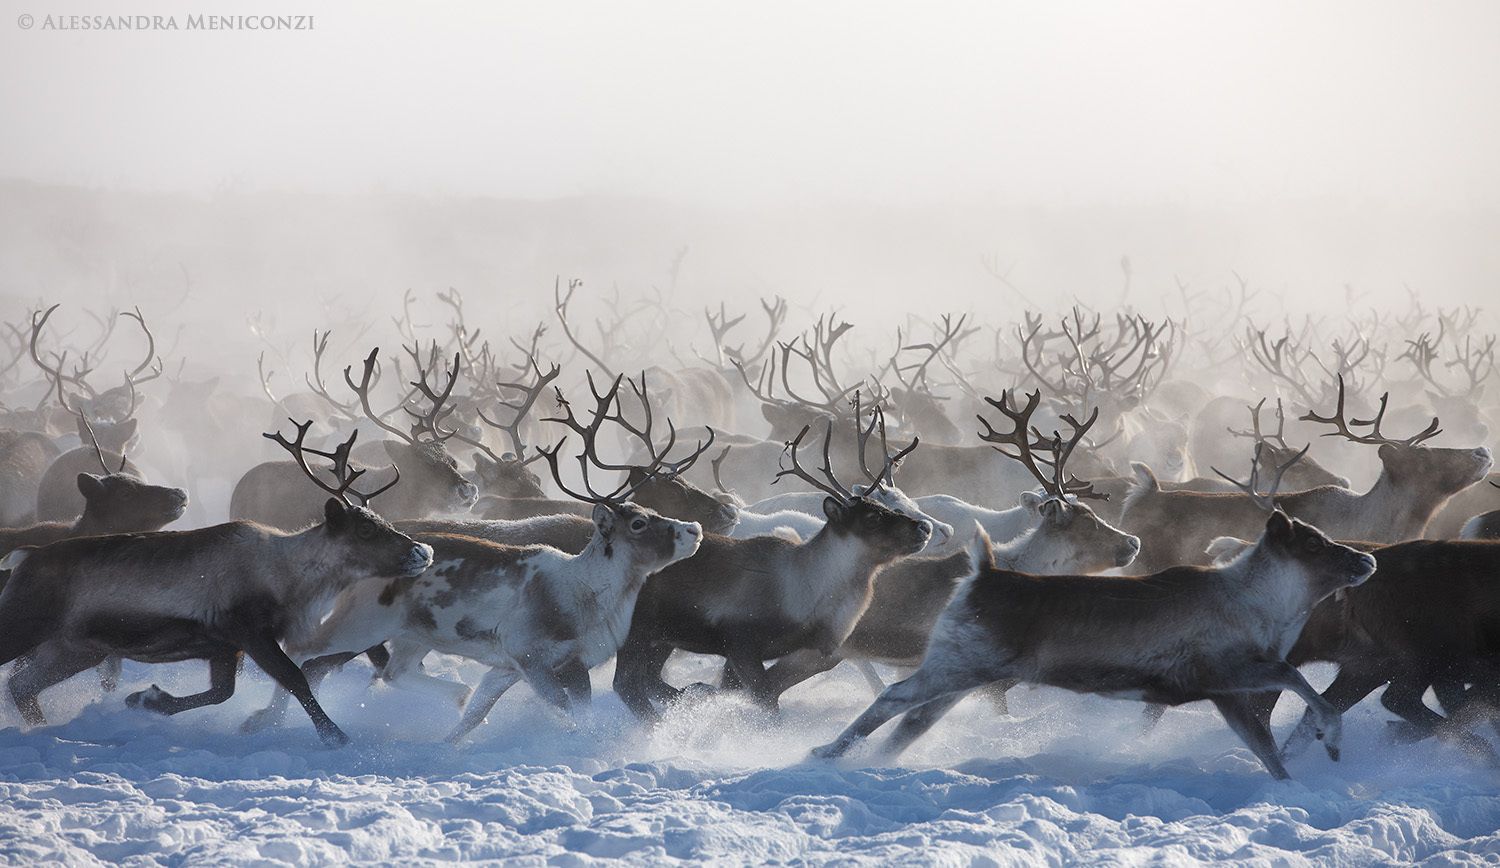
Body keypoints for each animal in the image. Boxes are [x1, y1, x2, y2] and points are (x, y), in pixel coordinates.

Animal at [0, 421, 433, 746]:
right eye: (364, 530)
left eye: (382, 521)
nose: (423, 551)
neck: (289, 576)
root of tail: (23, 557)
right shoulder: (249, 631)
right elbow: (294, 679)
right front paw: (335, 737)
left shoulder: (225, 646)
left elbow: (222, 692)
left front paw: (147, 700)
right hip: (25, 625)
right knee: (19, 680)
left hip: (76, 648)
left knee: (22, 685)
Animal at [240, 391, 708, 743]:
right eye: (638, 523)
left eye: (650, 510)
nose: (694, 529)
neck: (589, 592)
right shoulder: (536, 660)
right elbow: (570, 713)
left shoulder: (513, 667)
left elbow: (476, 713)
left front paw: (449, 743)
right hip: (362, 625)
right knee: (305, 655)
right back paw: (265, 720)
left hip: (414, 635)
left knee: (391, 672)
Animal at [611, 418, 933, 720]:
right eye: (872, 518)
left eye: (887, 508)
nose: (924, 527)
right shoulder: (741, 642)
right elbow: (764, 699)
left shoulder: (817, 651)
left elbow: (756, 691)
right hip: (640, 630)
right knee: (627, 684)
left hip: (661, 636)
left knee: (646, 680)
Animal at [810, 510, 1378, 780]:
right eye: (1313, 543)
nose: (1367, 559)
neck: (1266, 606)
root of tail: (982, 571)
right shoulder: (1225, 671)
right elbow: (1299, 681)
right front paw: (1332, 742)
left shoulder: (1226, 694)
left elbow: (1266, 749)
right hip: (957, 665)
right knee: (893, 698)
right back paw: (823, 752)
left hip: (965, 673)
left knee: (912, 723)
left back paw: (865, 761)